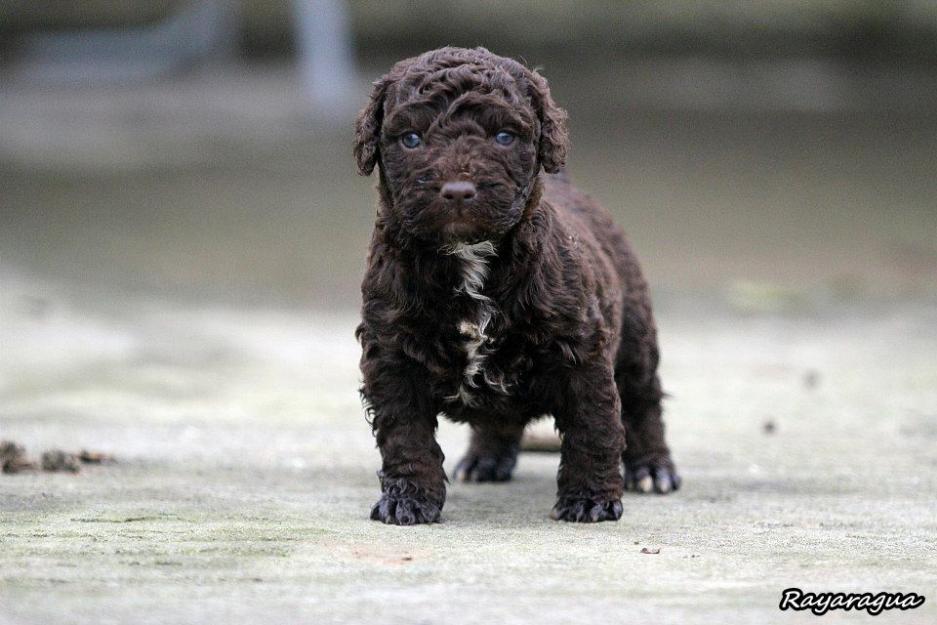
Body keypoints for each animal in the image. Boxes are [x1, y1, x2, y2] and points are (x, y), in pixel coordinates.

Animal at [354, 46, 676, 520]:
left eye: (504, 137)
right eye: (411, 139)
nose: (458, 190)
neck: (468, 259)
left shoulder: (580, 349)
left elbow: (594, 425)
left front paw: (590, 500)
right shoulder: (392, 353)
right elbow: (405, 434)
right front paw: (408, 500)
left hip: (635, 334)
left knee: (642, 401)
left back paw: (653, 468)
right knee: (496, 419)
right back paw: (485, 458)